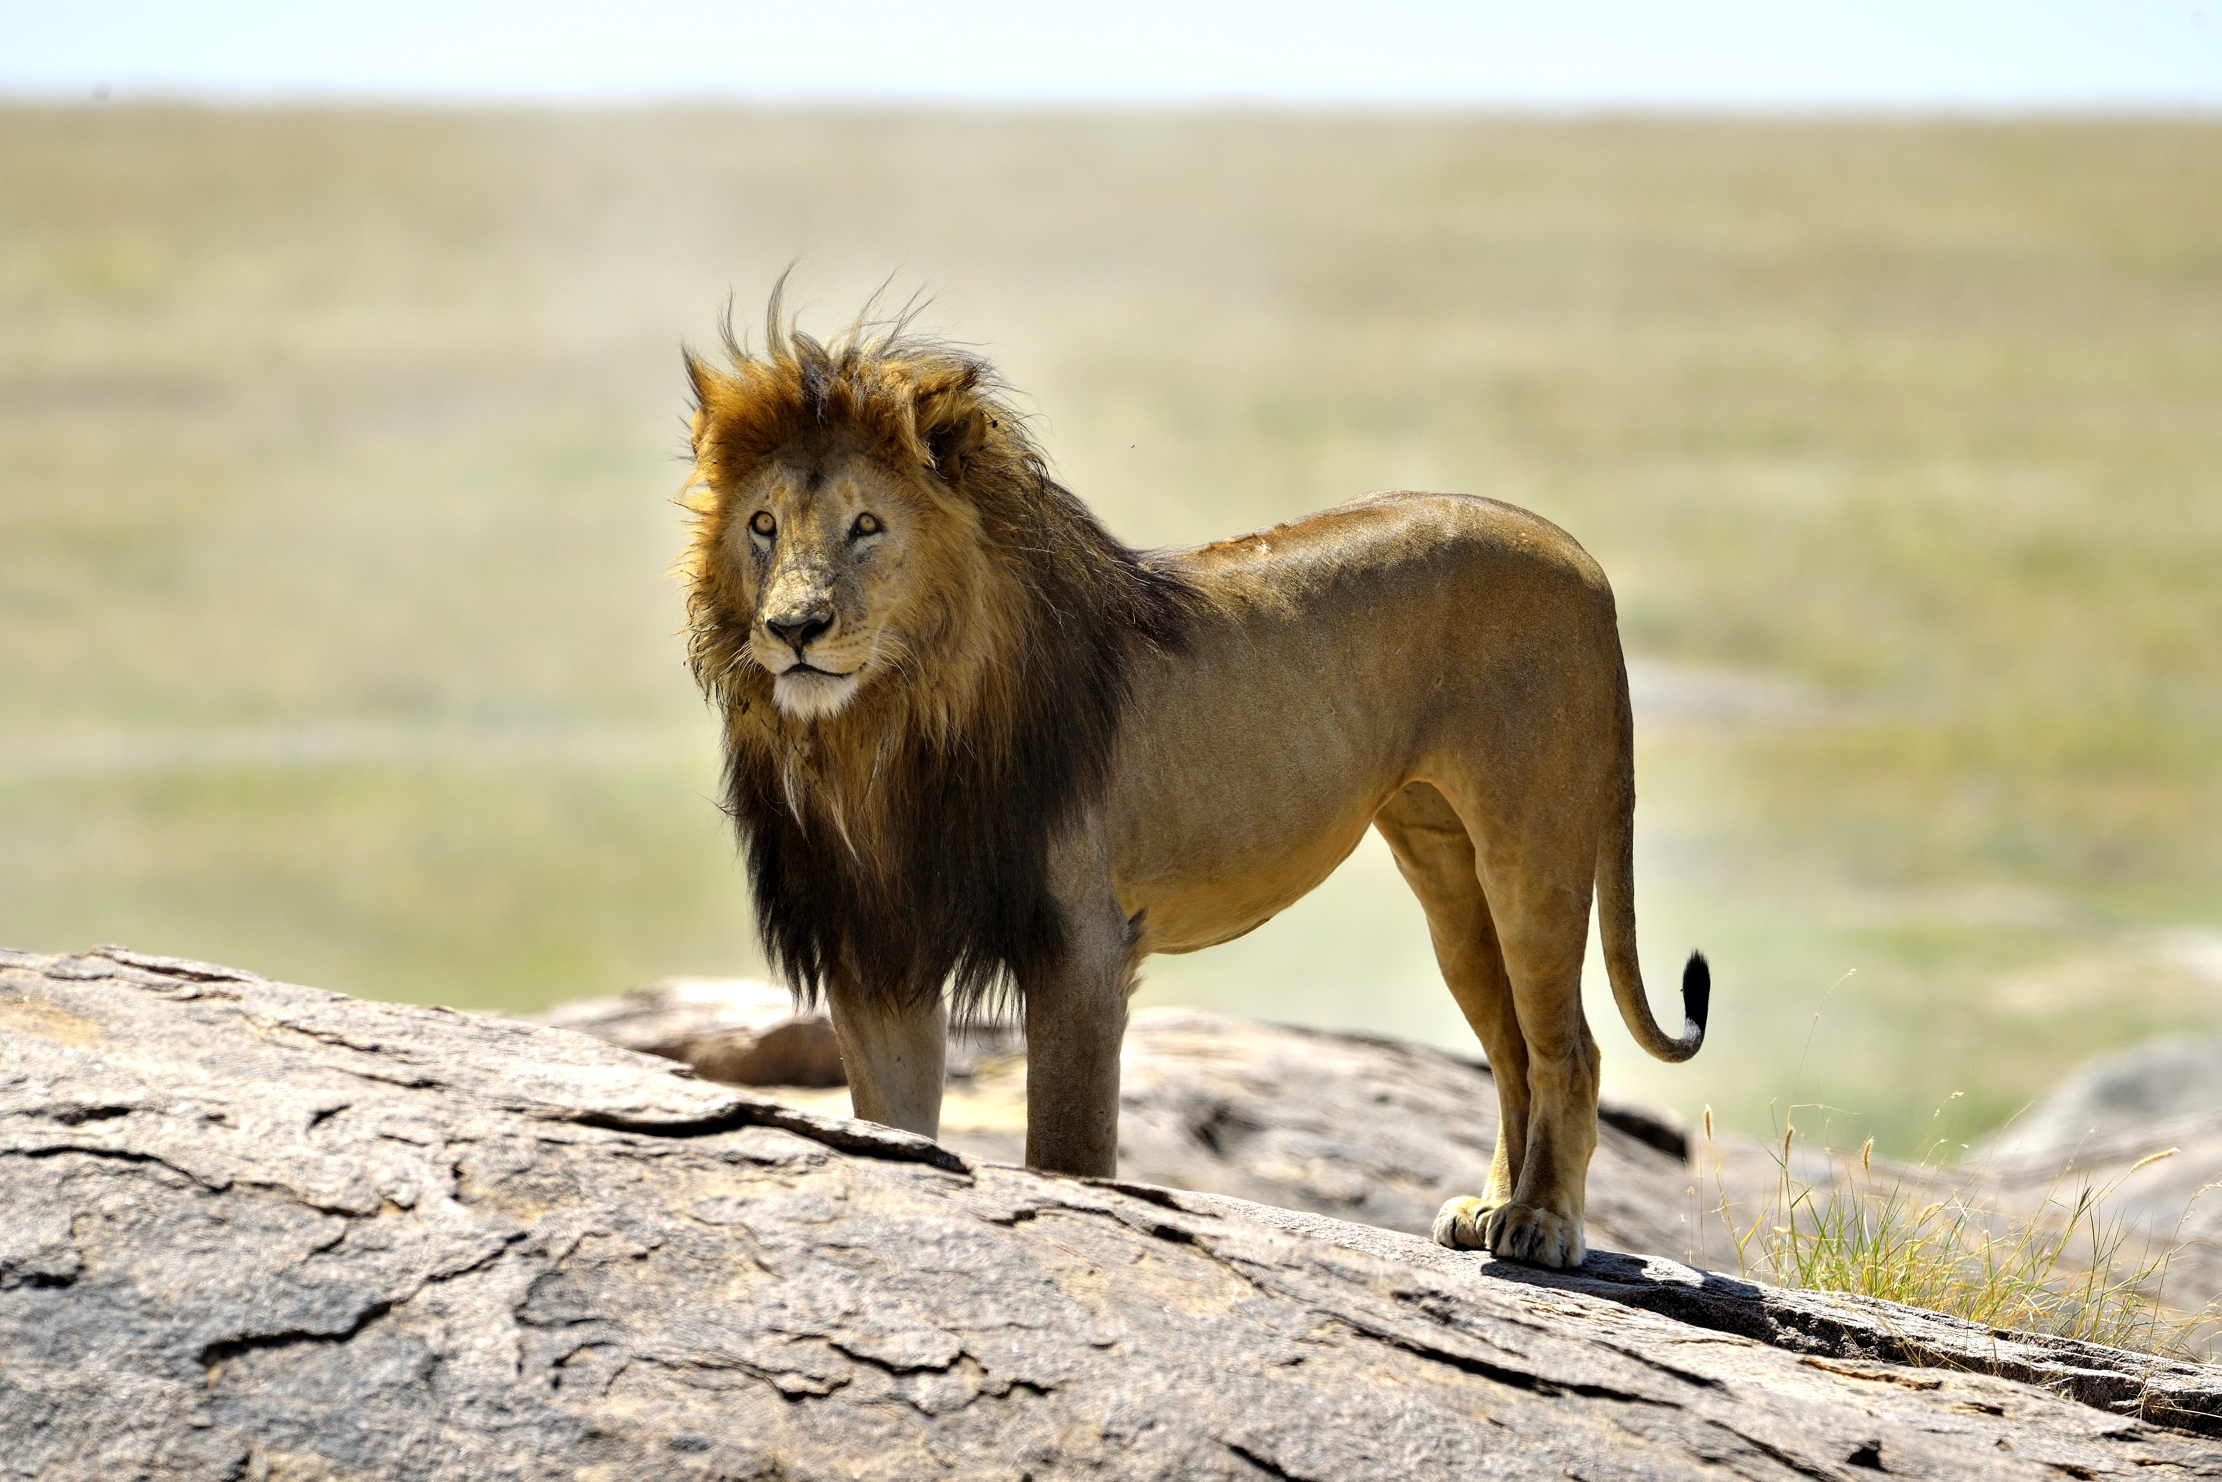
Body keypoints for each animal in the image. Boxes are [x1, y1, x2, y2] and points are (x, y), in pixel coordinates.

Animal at [678, 296, 1709, 1269]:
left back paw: (1541, 1222)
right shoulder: (876, 956)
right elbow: (892, 1130)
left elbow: (1069, 1153)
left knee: (1568, 1047)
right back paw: (1490, 1208)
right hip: (1448, 873)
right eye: (764, 526)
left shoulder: (1082, 943)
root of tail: (1582, 559)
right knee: (1511, 1050)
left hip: (1534, 843)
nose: (794, 629)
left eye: (867, 526)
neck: (881, 734)